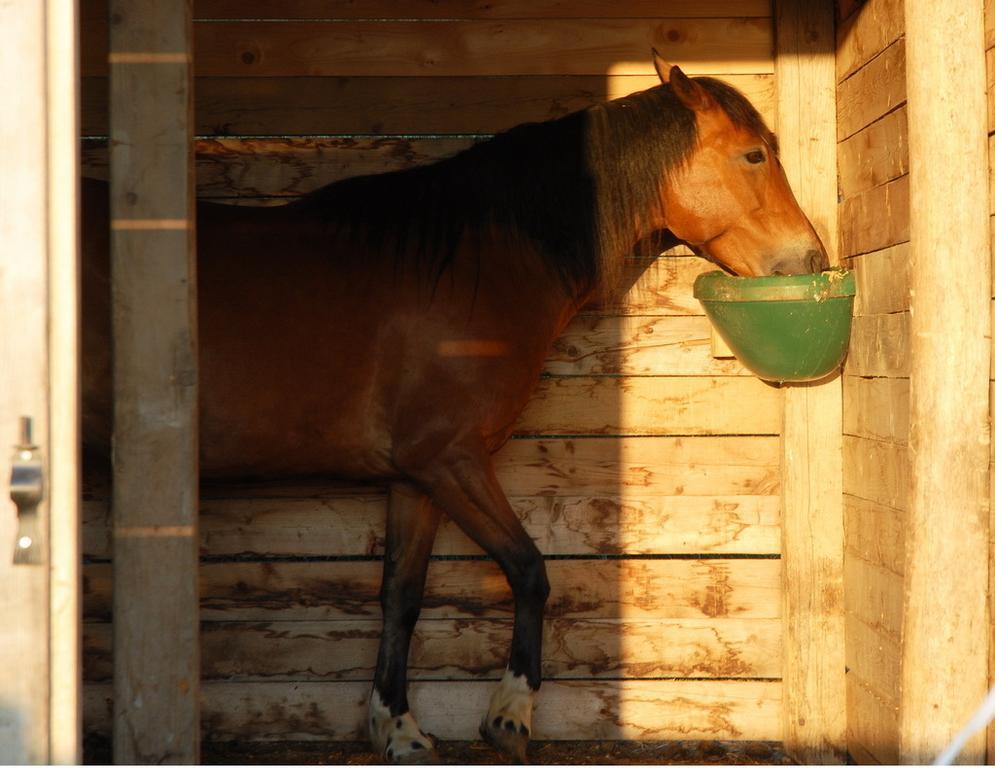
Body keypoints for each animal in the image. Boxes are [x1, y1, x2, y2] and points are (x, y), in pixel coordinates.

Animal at [81, 57, 832, 764]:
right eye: (753, 155)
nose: (810, 257)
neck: (478, 262)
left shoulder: (414, 479)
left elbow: (401, 596)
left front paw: (399, 730)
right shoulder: (451, 459)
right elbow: (528, 570)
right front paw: (509, 717)